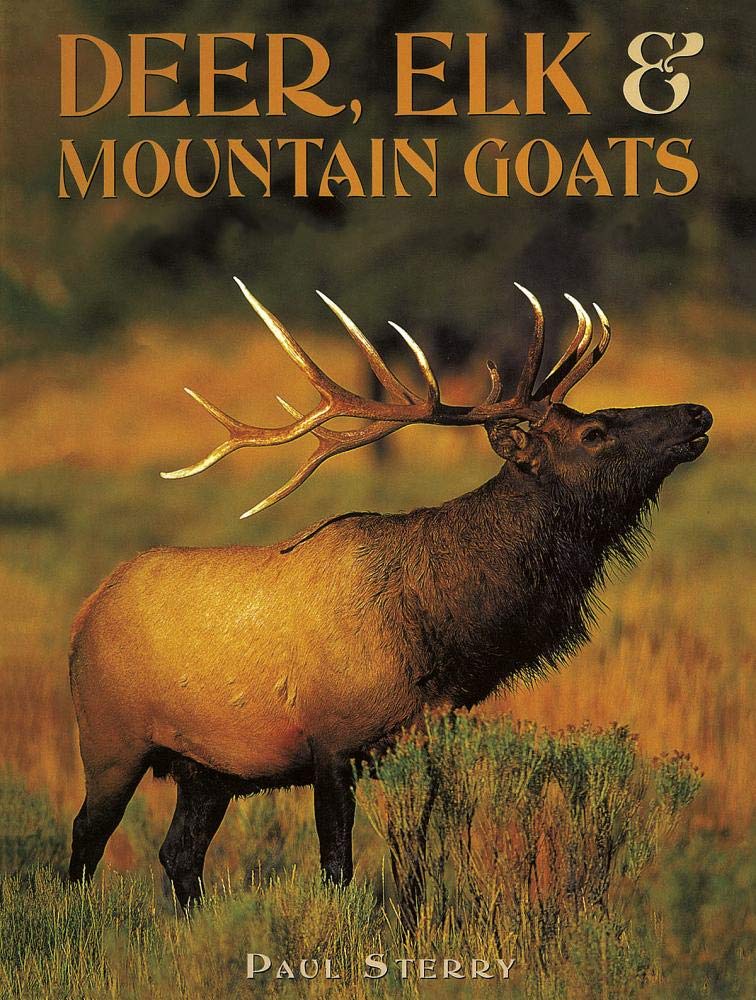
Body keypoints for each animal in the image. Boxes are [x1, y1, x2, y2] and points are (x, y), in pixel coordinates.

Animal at [68, 279, 712, 907]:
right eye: (594, 431)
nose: (697, 412)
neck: (443, 636)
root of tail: (86, 610)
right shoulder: (331, 744)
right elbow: (338, 869)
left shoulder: (422, 740)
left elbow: (414, 866)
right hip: (108, 740)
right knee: (85, 840)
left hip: (207, 769)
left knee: (180, 853)